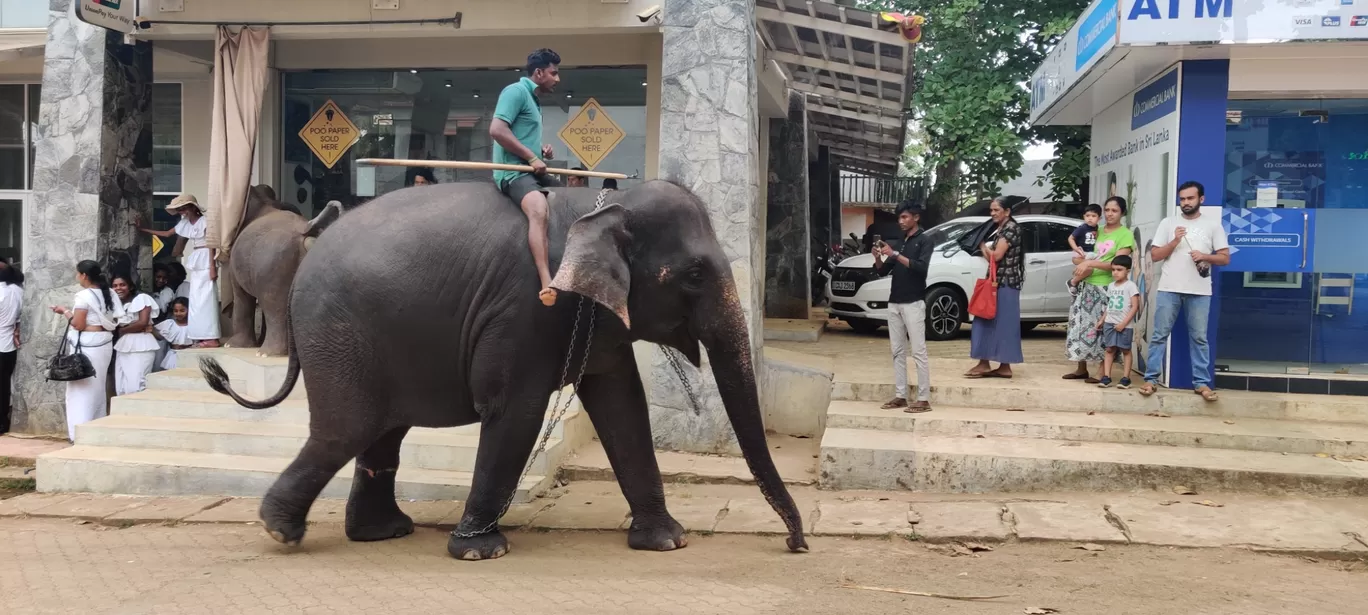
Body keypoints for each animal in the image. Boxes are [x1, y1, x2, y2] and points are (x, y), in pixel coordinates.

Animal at [224, 183, 342, 355]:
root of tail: (307, 229)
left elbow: (242, 296)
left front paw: (231, 346)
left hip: (275, 262)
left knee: (273, 305)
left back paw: (265, 354)